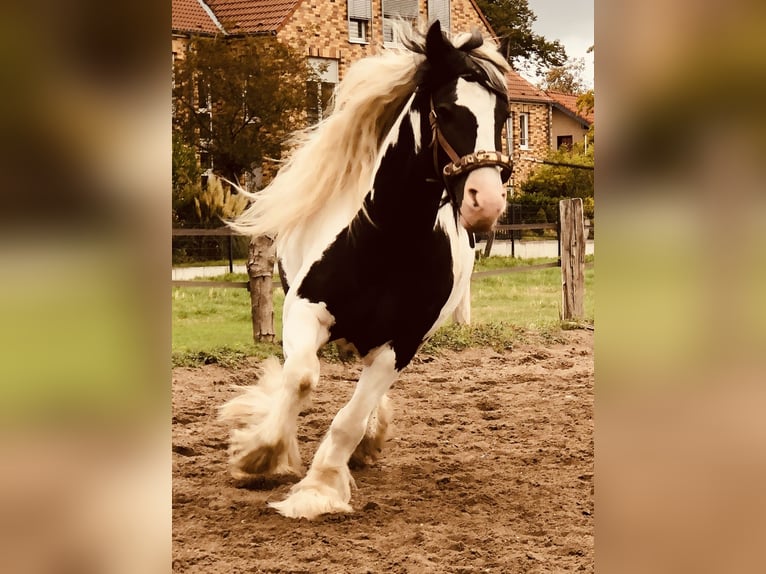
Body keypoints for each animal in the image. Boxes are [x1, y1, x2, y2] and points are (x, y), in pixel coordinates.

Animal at [219, 21, 512, 520]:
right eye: (446, 109)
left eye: (505, 116)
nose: (486, 203)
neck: (386, 242)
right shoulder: (306, 308)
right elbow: (300, 378)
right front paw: (258, 454)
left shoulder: (404, 342)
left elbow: (350, 418)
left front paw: (320, 487)